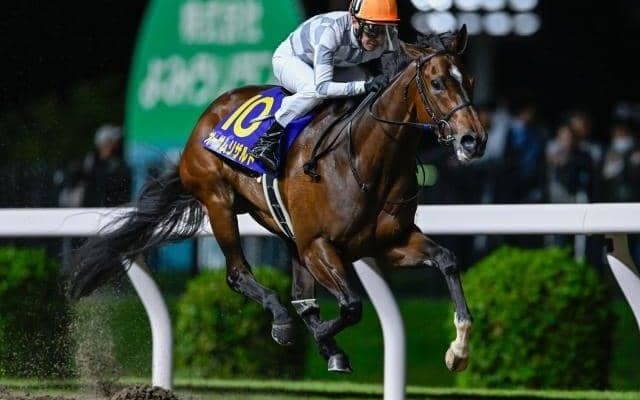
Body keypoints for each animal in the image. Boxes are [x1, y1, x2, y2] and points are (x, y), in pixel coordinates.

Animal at [69, 26, 486, 374]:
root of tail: (209, 113)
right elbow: (352, 306)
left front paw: (459, 350)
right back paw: (283, 321)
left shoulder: (388, 243)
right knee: (239, 274)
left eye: (468, 80)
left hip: (283, 229)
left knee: (301, 295)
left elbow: (447, 260)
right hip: (219, 201)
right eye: (436, 83)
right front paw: (316, 336)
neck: (366, 161)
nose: (473, 140)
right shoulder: (318, 244)